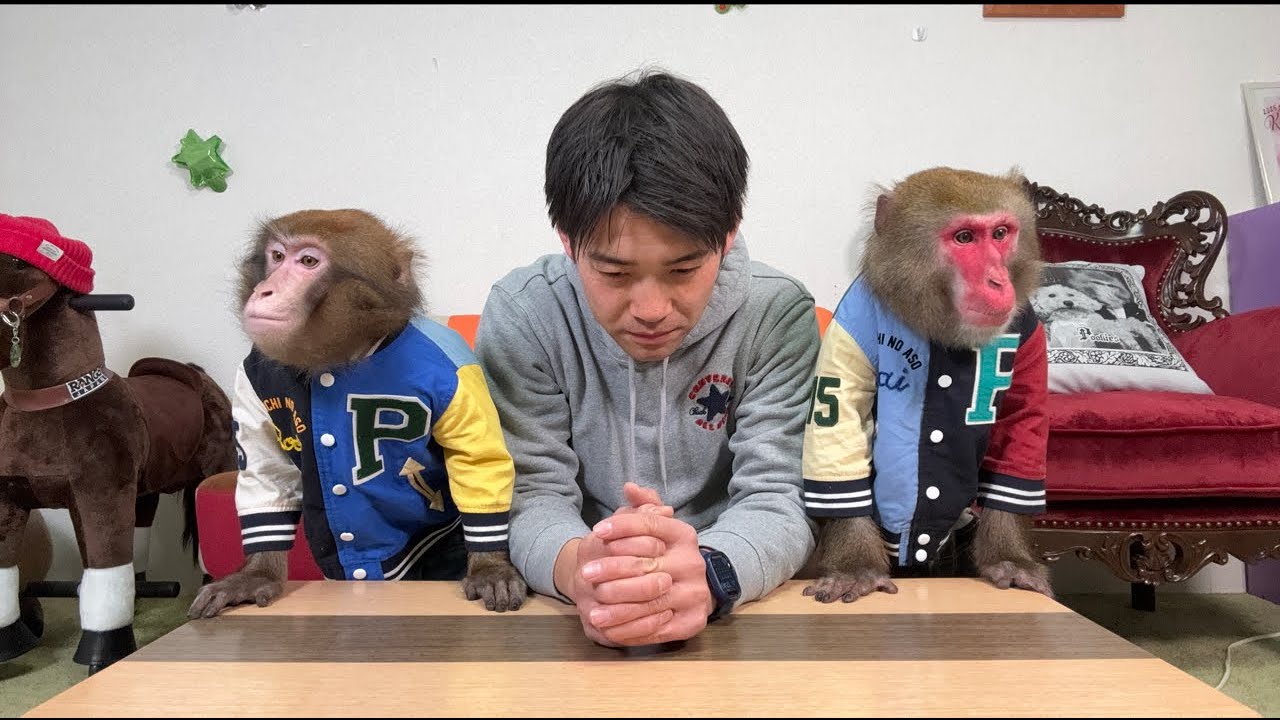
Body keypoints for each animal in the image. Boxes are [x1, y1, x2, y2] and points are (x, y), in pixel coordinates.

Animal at [188, 209, 526, 617]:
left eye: (309, 262)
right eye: (277, 256)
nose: (265, 290)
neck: (344, 357)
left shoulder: (455, 373)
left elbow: (475, 459)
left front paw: (490, 565)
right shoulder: (251, 373)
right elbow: (267, 470)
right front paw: (256, 574)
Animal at [801, 167, 1052, 603]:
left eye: (1000, 233)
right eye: (965, 238)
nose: (997, 281)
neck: (942, 331)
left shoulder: (1030, 332)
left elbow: (1022, 424)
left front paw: (1010, 559)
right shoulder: (853, 325)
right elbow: (840, 420)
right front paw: (855, 567)